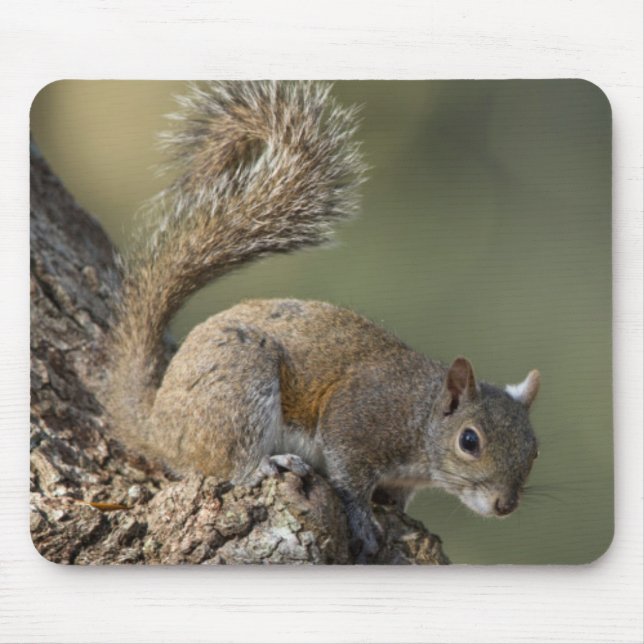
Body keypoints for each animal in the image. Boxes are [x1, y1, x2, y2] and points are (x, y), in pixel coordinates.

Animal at [103, 81, 541, 562]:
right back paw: (265, 465)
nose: (505, 504)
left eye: (535, 449)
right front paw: (363, 520)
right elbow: (349, 477)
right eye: (469, 441)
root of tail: (156, 424)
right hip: (239, 388)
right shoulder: (357, 418)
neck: (420, 415)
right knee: (224, 463)